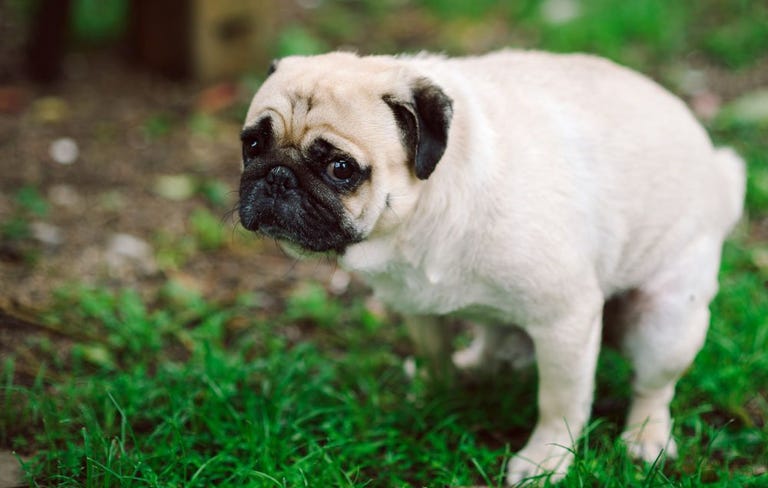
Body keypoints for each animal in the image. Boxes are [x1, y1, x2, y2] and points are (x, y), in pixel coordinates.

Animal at [238, 49, 744, 484]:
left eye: (341, 168)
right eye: (253, 145)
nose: (278, 176)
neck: (424, 212)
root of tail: (718, 175)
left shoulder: (565, 320)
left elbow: (560, 401)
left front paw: (546, 459)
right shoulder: (418, 307)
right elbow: (434, 352)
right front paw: (435, 393)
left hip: (666, 323)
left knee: (653, 388)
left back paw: (645, 437)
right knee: (493, 336)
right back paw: (476, 365)